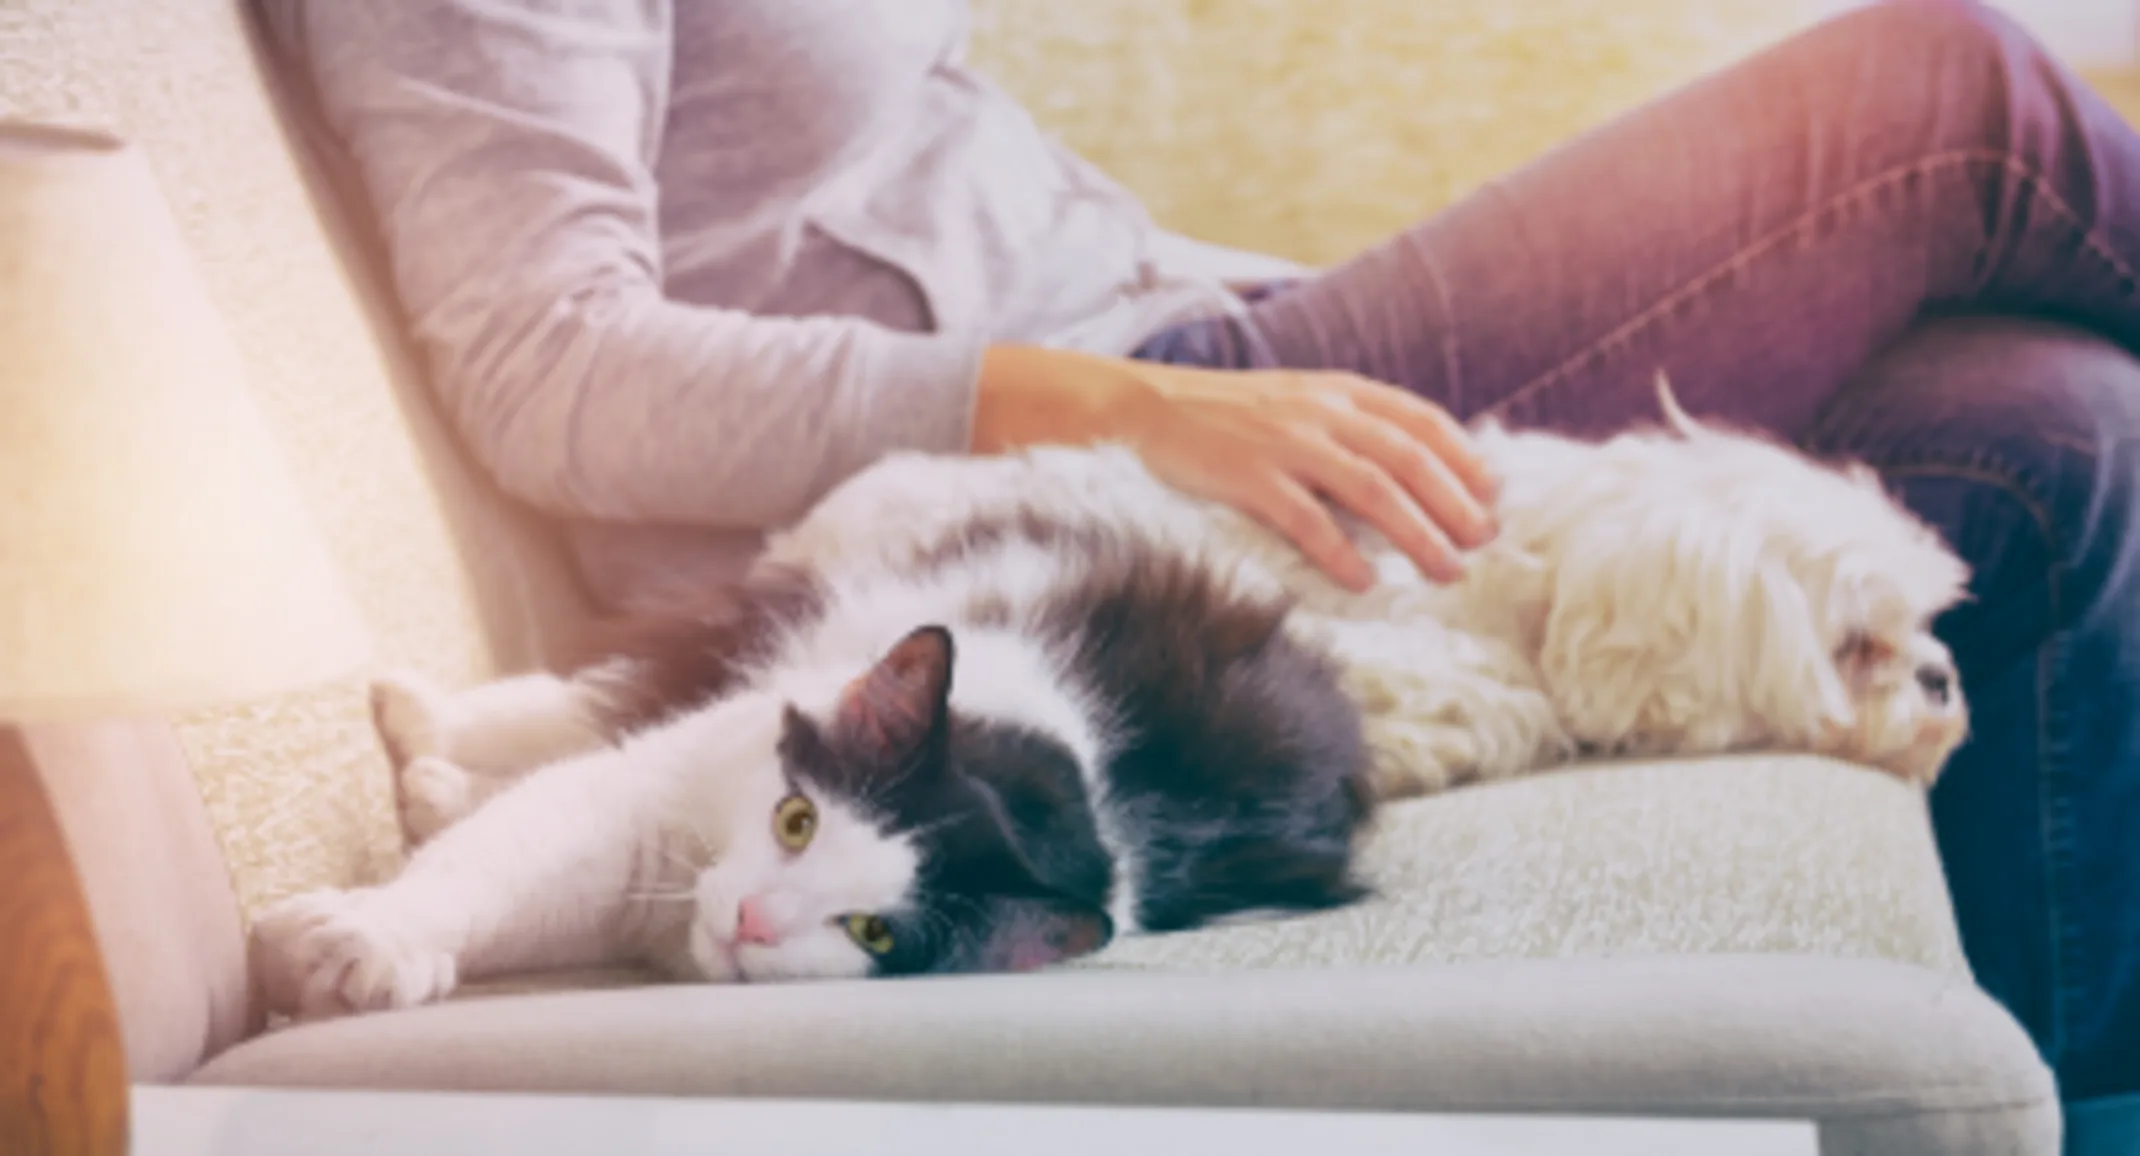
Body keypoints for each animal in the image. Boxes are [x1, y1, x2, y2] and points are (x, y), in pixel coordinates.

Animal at [250, 513, 1378, 1018]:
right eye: (797, 822)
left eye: (873, 932)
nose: (754, 920)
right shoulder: (639, 794)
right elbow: (489, 863)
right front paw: (371, 938)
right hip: (803, 618)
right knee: (591, 698)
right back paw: (416, 721)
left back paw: (432, 781)